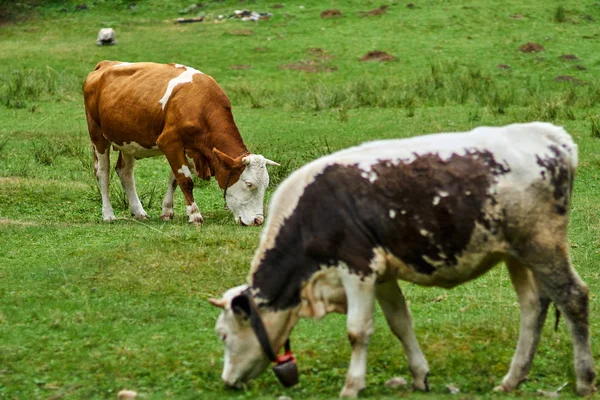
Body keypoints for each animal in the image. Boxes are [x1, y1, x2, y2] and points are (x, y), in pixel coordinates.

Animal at [83, 61, 280, 225]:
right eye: (249, 184)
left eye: (266, 185)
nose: (258, 221)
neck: (200, 104)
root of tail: (106, 64)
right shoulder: (169, 142)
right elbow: (186, 180)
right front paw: (194, 214)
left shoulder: (188, 149)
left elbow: (174, 180)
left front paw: (167, 211)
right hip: (97, 135)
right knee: (103, 173)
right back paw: (108, 214)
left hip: (127, 140)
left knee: (125, 172)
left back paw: (139, 212)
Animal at [211, 123, 596, 398]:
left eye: (224, 335)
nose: (227, 381)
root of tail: (551, 135)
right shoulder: (382, 275)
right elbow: (400, 323)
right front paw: (419, 376)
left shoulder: (358, 269)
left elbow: (358, 330)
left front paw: (352, 386)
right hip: (517, 255)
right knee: (533, 307)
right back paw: (512, 380)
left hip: (542, 246)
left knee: (573, 297)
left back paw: (584, 380)